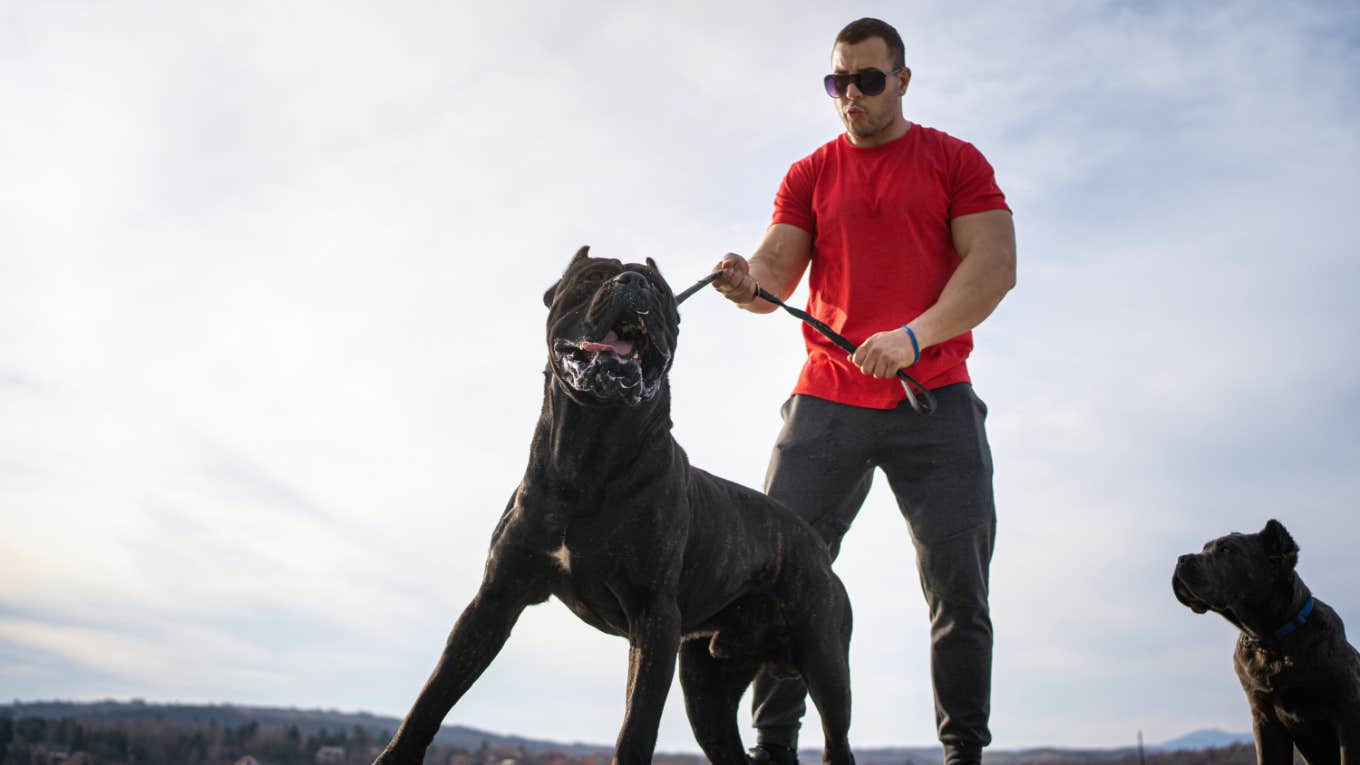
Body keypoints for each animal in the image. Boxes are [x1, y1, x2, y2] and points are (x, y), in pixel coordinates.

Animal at [372, 249, 854, 762]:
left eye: (659, 292)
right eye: (592, 278)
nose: (633, 285)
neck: (588, 454)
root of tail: (815, 543)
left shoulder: (654, 618)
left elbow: (636, 727)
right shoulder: (494, 600)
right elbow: (431, 697)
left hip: (825, 664)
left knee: (837, 738)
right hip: (707, 690)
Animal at [1169, 514, 1360, 756]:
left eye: (1227, 549)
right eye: (1205, 548)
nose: (1181, 559)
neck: (1272, 641)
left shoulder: (1347, 711)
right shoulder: (1264, 719)